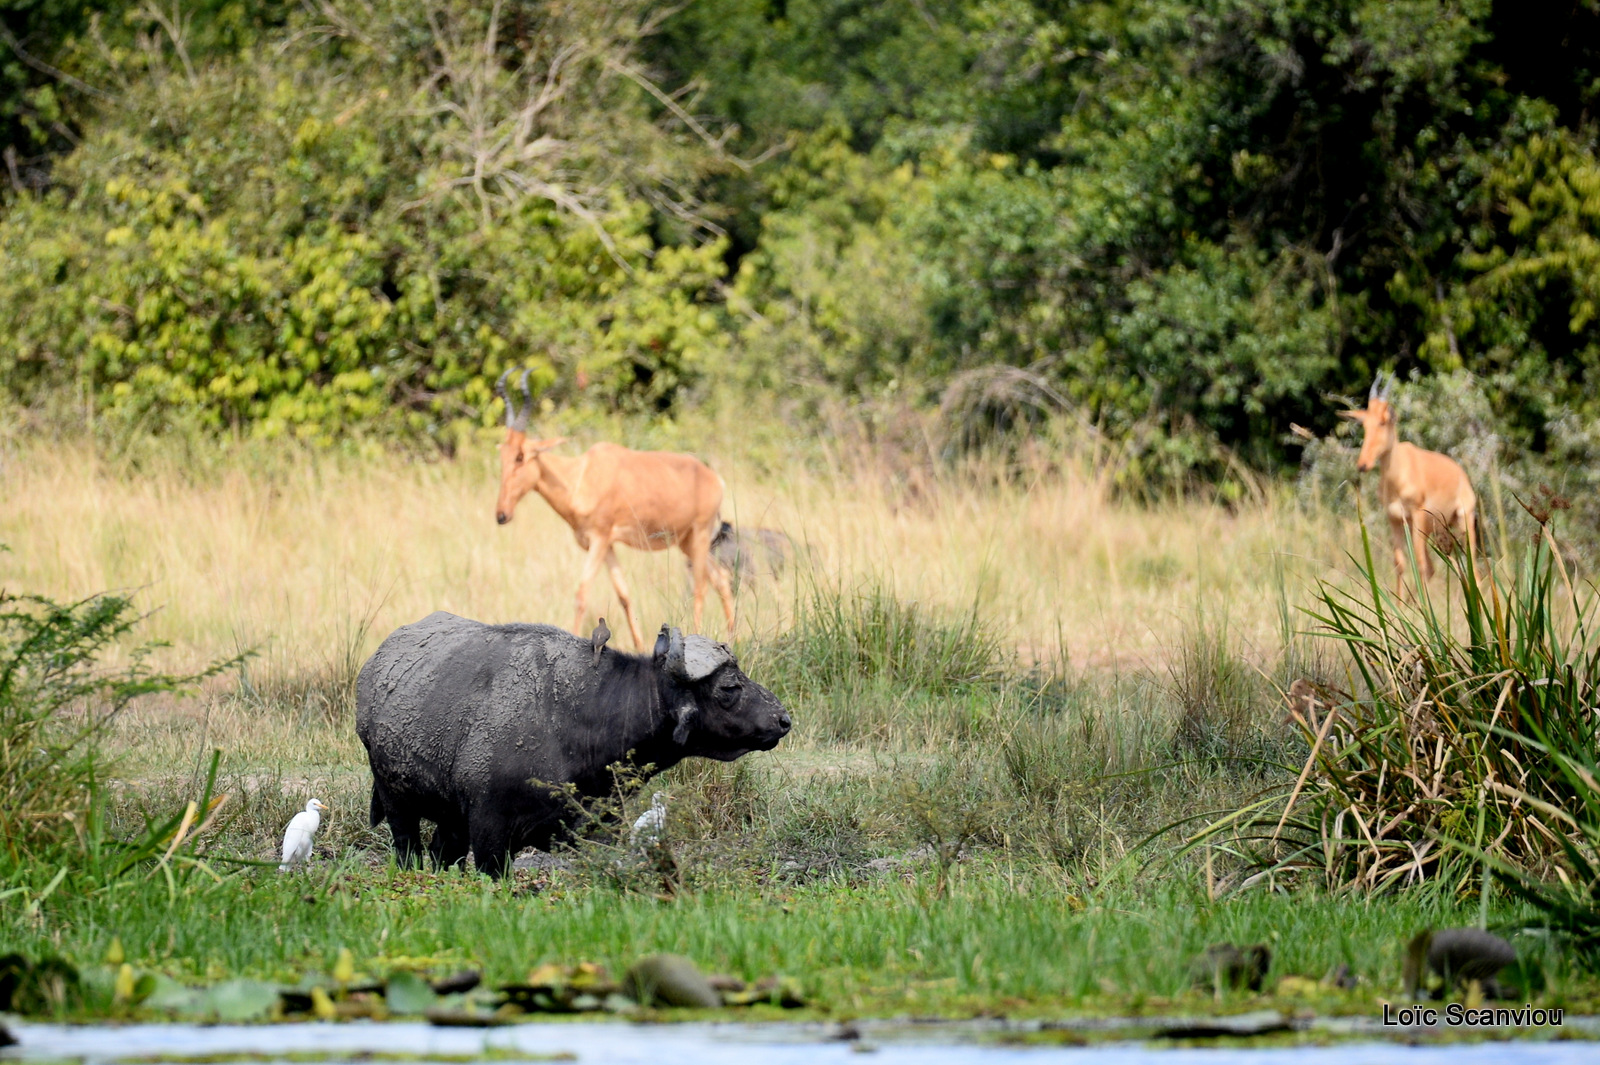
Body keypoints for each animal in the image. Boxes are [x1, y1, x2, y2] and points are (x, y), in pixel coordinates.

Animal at [356, 610, 793, 876]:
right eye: (730, 687)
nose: (783, 720)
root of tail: (373, 667)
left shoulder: (603, 827)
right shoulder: (489, 830)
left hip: (449, 818)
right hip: (398, 803)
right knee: (408, 847)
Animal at [492, 369, 736, 646]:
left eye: (520, 456)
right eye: (503, 456)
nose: (502, 515)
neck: (581, 475)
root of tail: (715, 479)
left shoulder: (599, 540)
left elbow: (581, 594)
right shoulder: (607, 545)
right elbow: (624, 596)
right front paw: (639, 646)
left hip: (700, 535)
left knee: (701, 586)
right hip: (686, 541)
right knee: (721, 579)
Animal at [1331, 372, 1478, 591]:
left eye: (1384, 421)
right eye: (1364, 423)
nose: (1363, 464)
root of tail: (1461, 474)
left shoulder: (1417, 515)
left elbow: (1419, 563)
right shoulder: (1394, 519)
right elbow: (1400, 563)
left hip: (1463, 521)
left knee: (1472, 567)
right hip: (1438, 529)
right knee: (1441, 566)